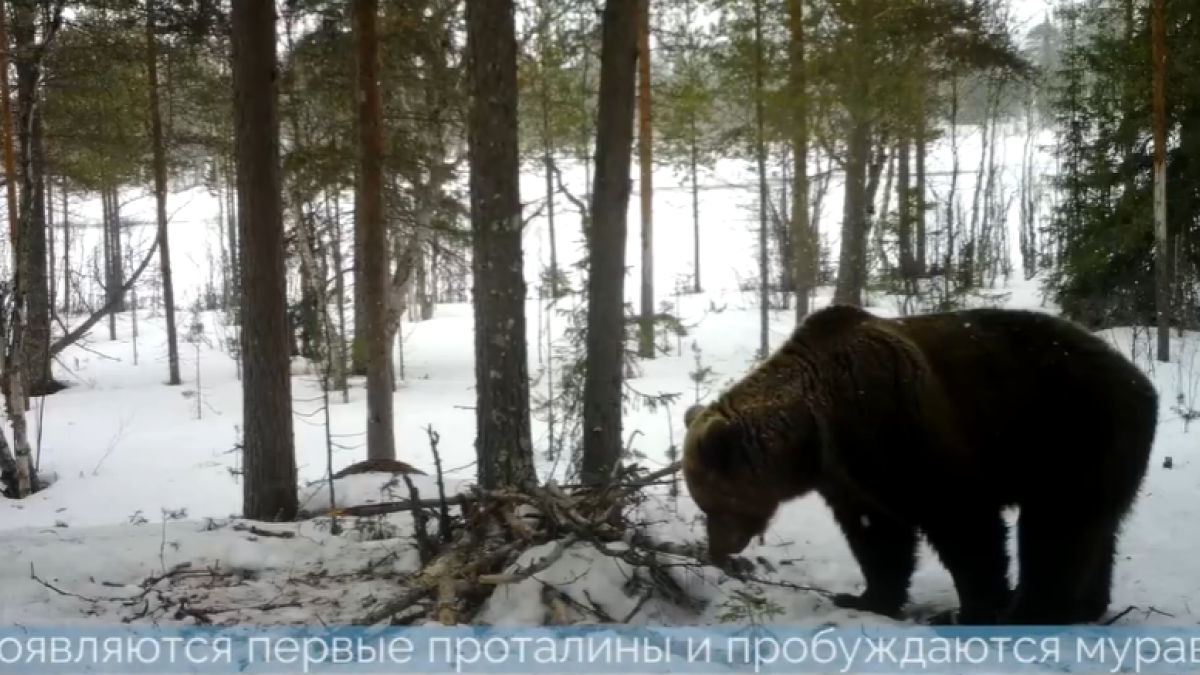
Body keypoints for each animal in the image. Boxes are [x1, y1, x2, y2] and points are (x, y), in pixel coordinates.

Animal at [686, 302, 1161, 624]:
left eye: (711, 504)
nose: (717, 549)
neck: (817, 430)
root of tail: (1143, 382)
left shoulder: (901, 430)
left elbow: (962, 522)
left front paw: (973, 609)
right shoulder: (852, 477)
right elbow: (877, 536)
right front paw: (865, 598)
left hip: (1072, 431)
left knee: (1057, 526)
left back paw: (1031, 611)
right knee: (1097, 528)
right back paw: (1088, 605)